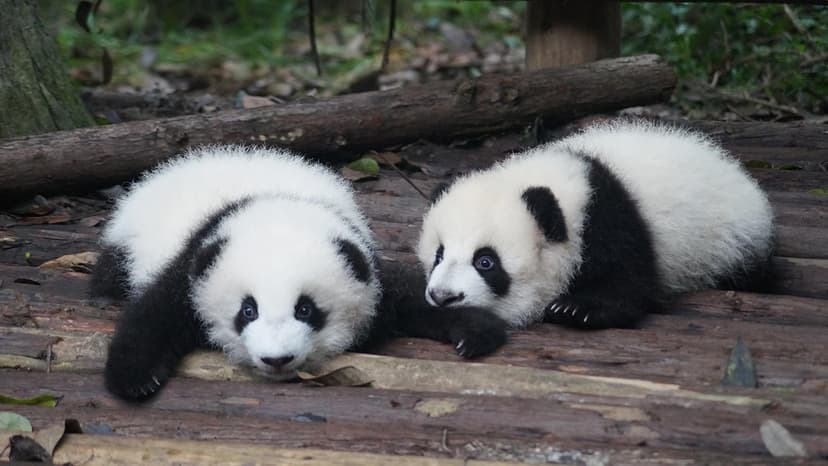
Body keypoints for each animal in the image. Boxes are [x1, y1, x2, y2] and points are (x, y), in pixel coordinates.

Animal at [93, 146, 504, 401]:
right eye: (248, 311)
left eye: (306, 310)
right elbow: (155, 312)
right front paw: (135, 379)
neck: (277, 203)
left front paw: (474, 330)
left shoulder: (363, 261)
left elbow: (410, 295)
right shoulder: (196, 260)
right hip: (127, 241)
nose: (277, 360)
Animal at [417, 120, 774, 340]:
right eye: (439, 255)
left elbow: (629, 283)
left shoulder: (610, 220)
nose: (443, 296)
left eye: (485, 262)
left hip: (732, 241)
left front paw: (576, 308)